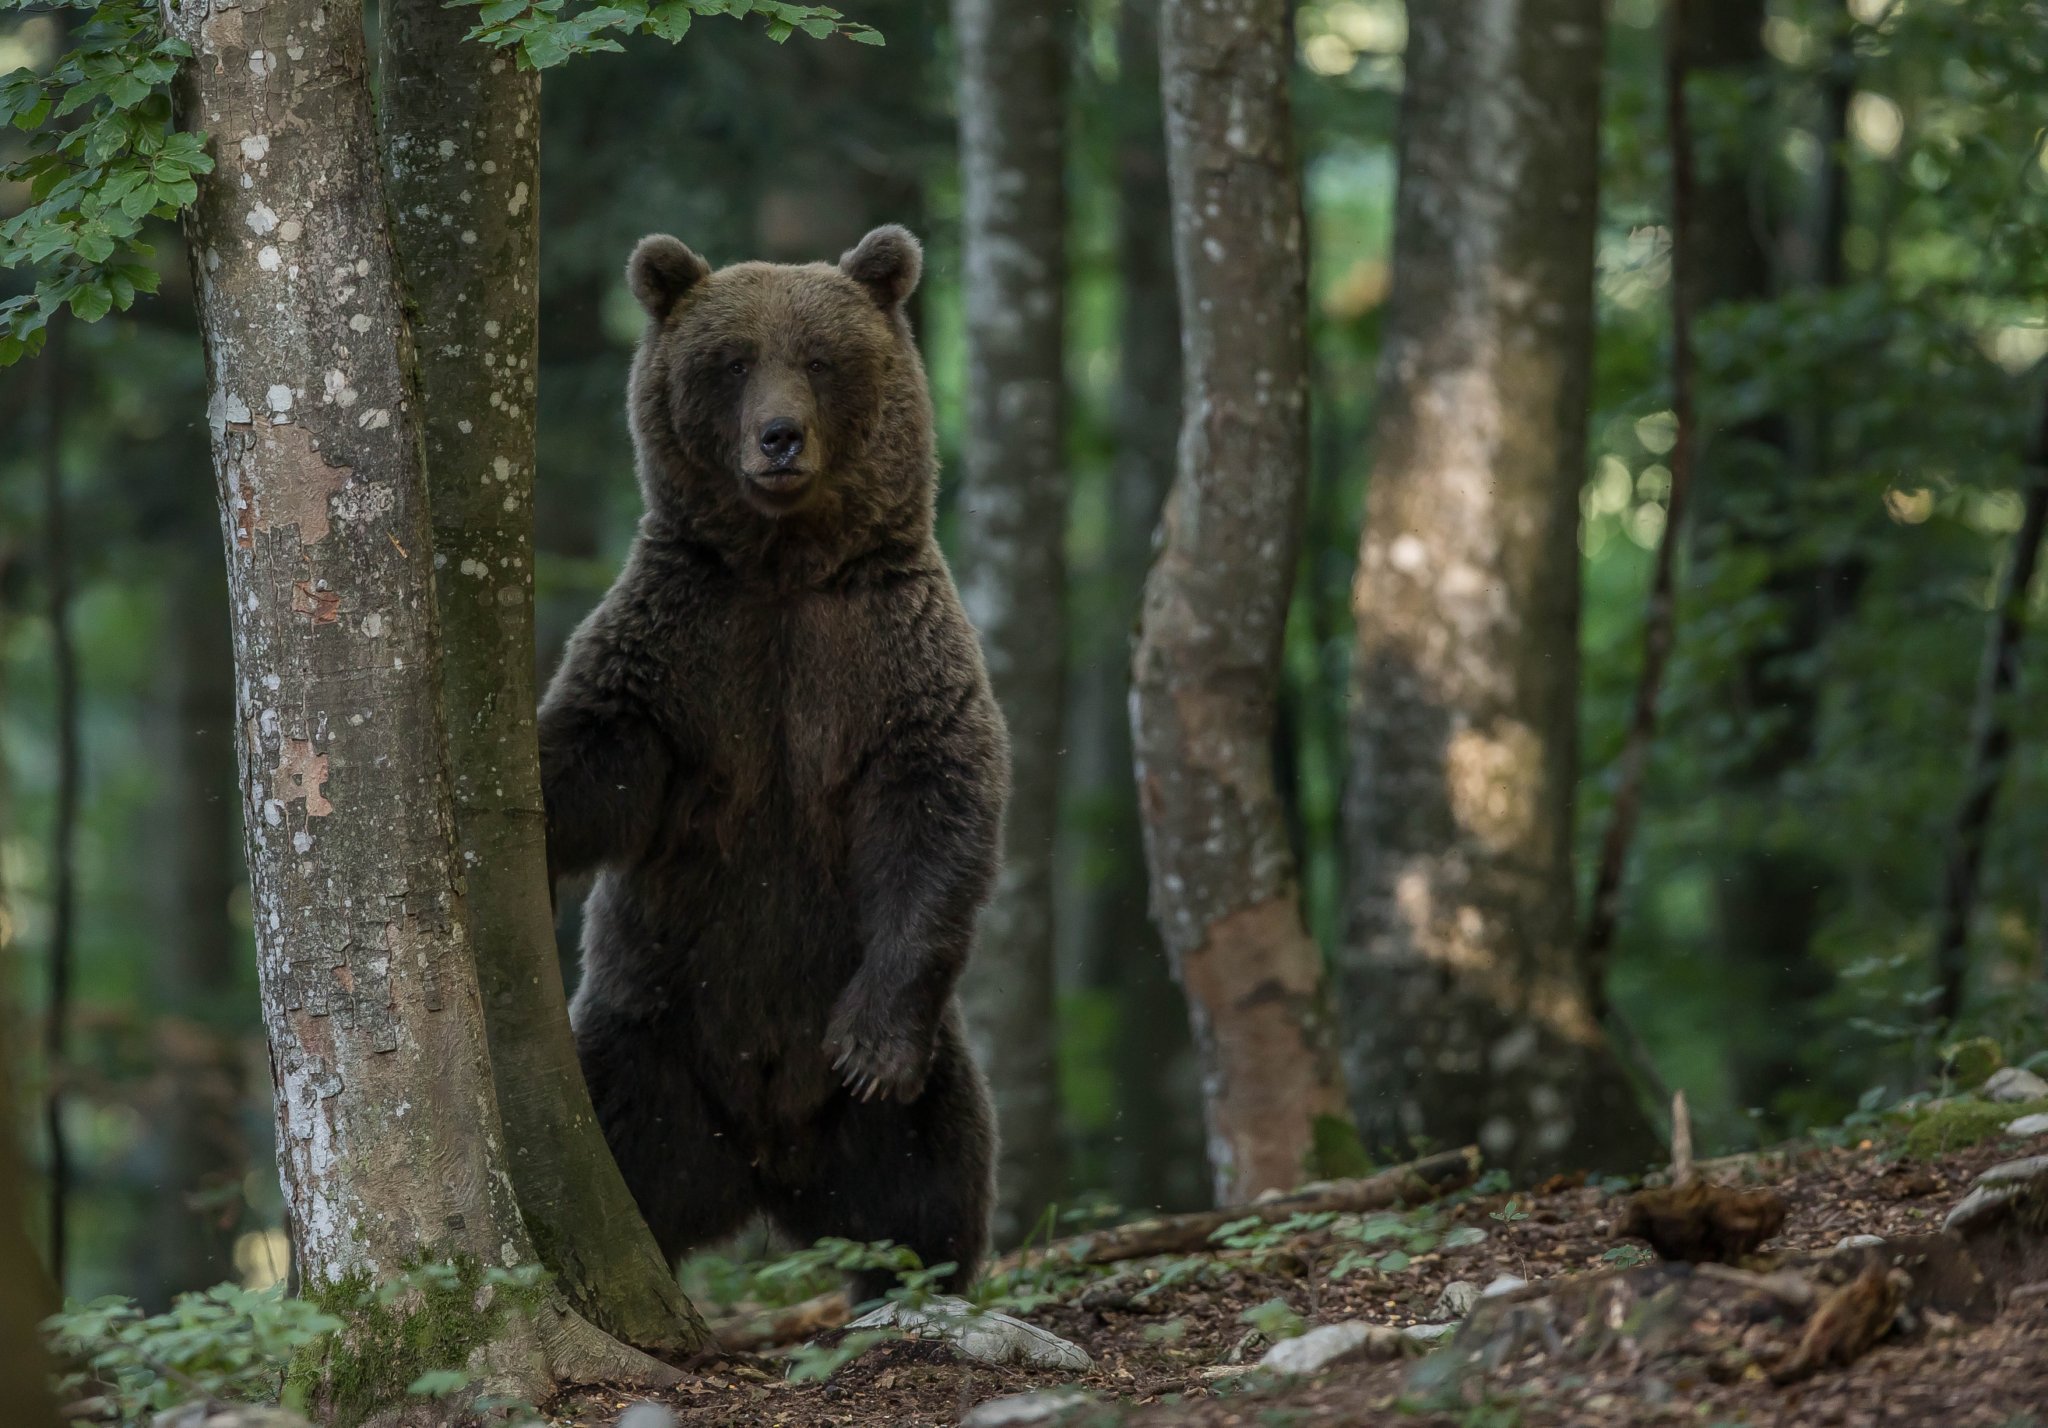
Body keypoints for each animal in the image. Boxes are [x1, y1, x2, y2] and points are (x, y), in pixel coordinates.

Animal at [537, 225, 1007, 1305]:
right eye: (731, 361)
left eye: (822, 359)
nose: (779, 437)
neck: (785, 568)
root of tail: (762, 1167)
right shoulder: (685, 649)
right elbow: (596, 758)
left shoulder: (887, 651)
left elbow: (937, 807)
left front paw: (871, 1047)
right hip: (643, 1041)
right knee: (618, 1145)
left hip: (905, 1088)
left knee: (931, 1174)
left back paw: (917, 1278)